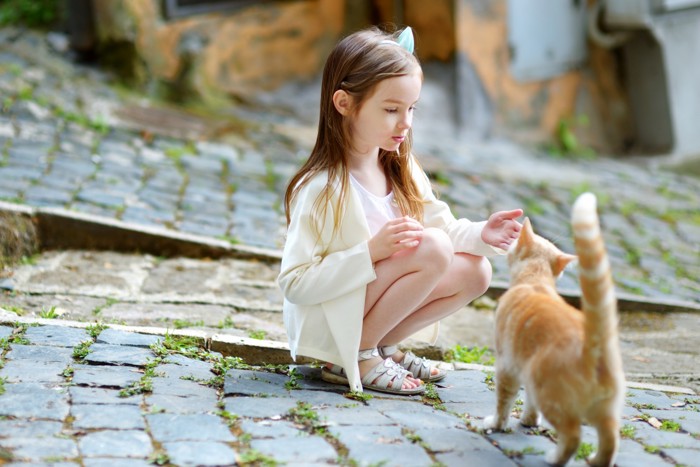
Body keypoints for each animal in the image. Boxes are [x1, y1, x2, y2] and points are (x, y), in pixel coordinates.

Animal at [484, 194, 628, 467]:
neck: (535, 281)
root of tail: (595, 344)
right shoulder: (522, 365)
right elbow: (528, 402)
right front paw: (528, 420)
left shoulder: (507, 365)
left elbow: (503, 401)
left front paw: (496, 424)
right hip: (606, 411)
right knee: (611, 439)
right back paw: (596, 461)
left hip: (549, 393)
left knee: (573, 435)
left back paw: (555, 458)